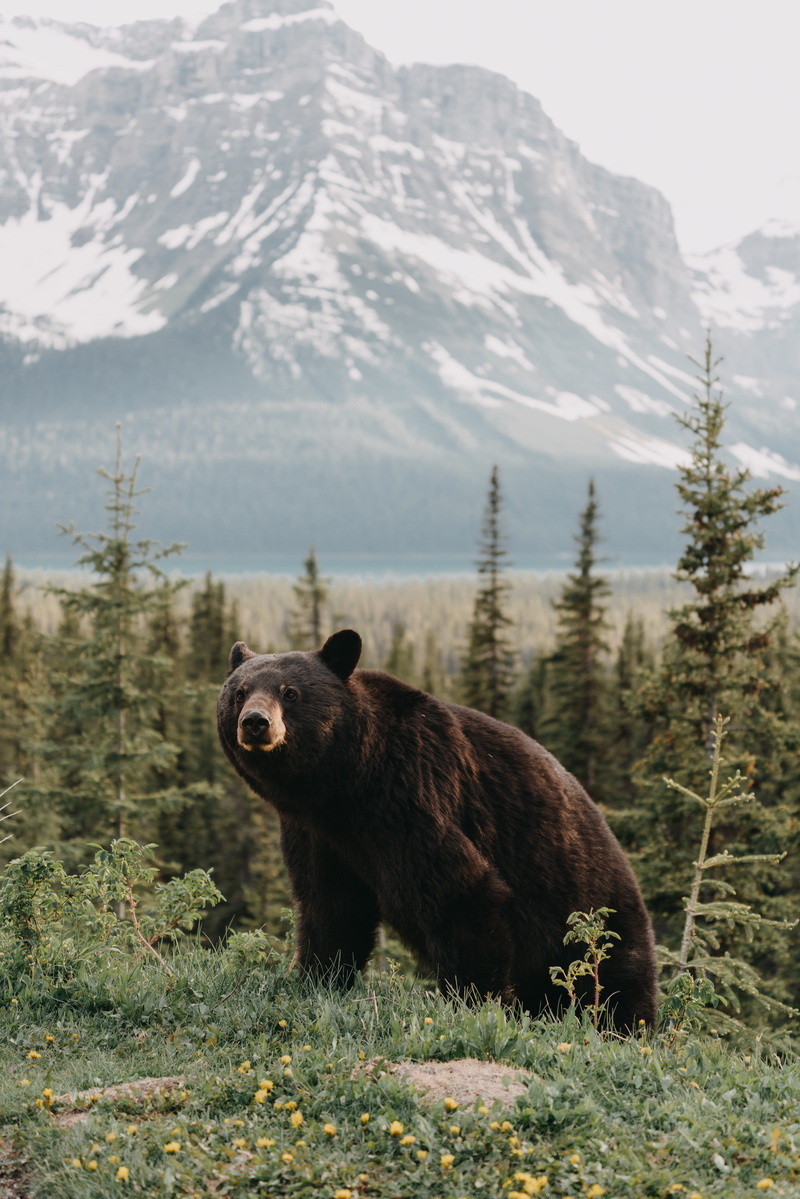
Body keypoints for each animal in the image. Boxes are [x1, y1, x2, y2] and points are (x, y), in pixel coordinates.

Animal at [217, 629, 658, 1030]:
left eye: (290, 692)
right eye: (239, 693)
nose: (255, 723)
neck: (345, 787)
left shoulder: (412, 797)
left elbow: (461, 894)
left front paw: (473, 1002)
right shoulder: (316, 834)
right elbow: (330, 907)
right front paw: (316, 978)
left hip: (593, 917)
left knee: (615, 983)